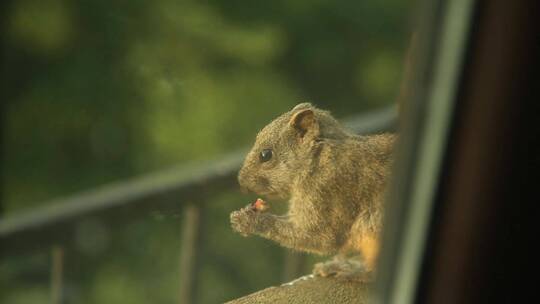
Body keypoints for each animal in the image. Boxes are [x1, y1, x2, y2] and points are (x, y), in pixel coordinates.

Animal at [230, 102, 394, 280]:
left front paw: (248, 220)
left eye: (265, 155)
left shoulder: (324, 190)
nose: (241, 181)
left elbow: (320, 237)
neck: (318, 156)